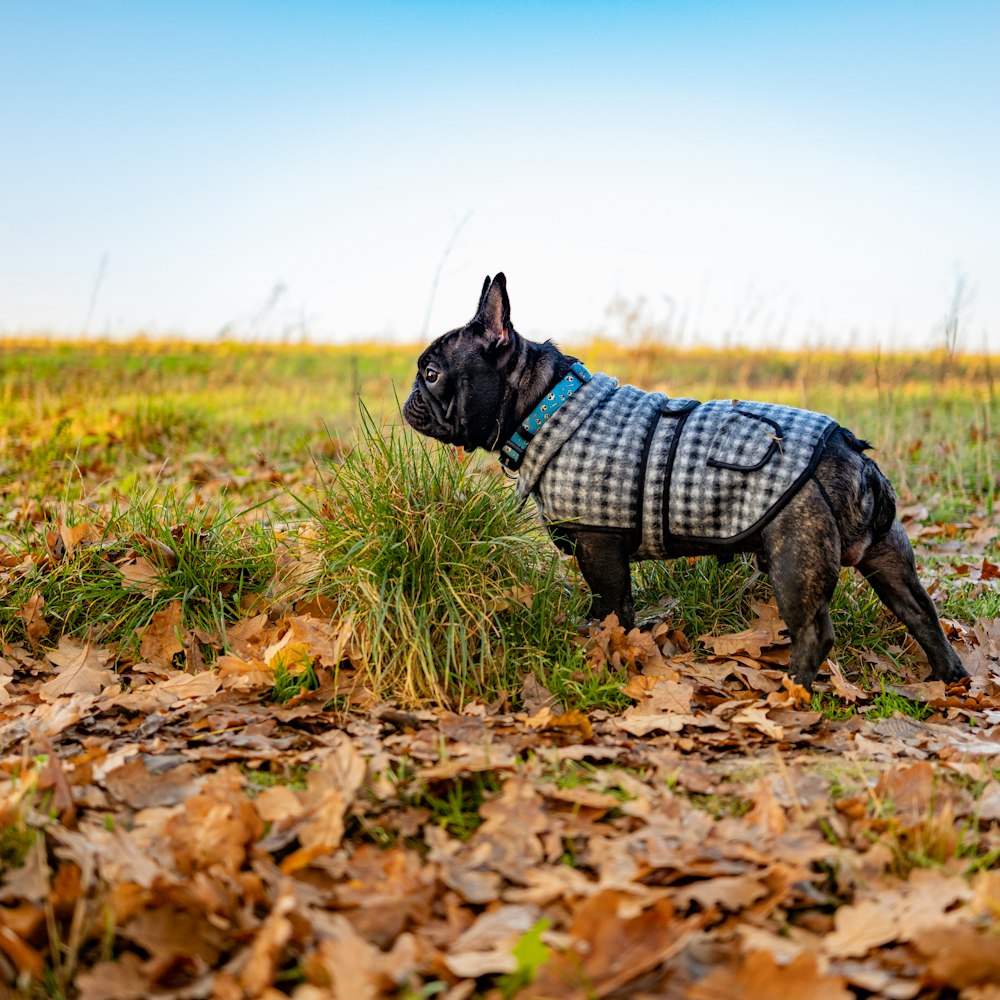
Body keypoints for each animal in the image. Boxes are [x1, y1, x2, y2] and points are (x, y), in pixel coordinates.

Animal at [404, 276, 968, 696]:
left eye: (431, 373)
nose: (409, 399)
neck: (546, 403)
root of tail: (851, 454)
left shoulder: (598, 544)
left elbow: (612, 604)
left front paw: (600, 647)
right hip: (890, 560)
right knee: (923, 615)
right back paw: (951, 678)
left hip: (795, 558)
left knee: (814, 632)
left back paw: (792, 691)